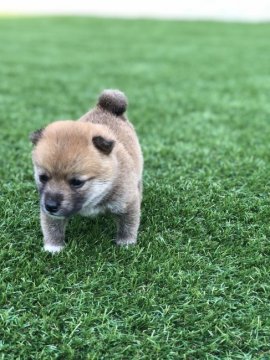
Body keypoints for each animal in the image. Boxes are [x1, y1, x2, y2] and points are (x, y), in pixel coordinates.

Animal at [30, 90, 143, 253]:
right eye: (43, 177)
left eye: (77, 182)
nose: (50, 206)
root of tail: (106, 107)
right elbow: (52, 227)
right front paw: (53, 248)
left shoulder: (127, 202)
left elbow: (127, 225)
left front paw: (125, 244)